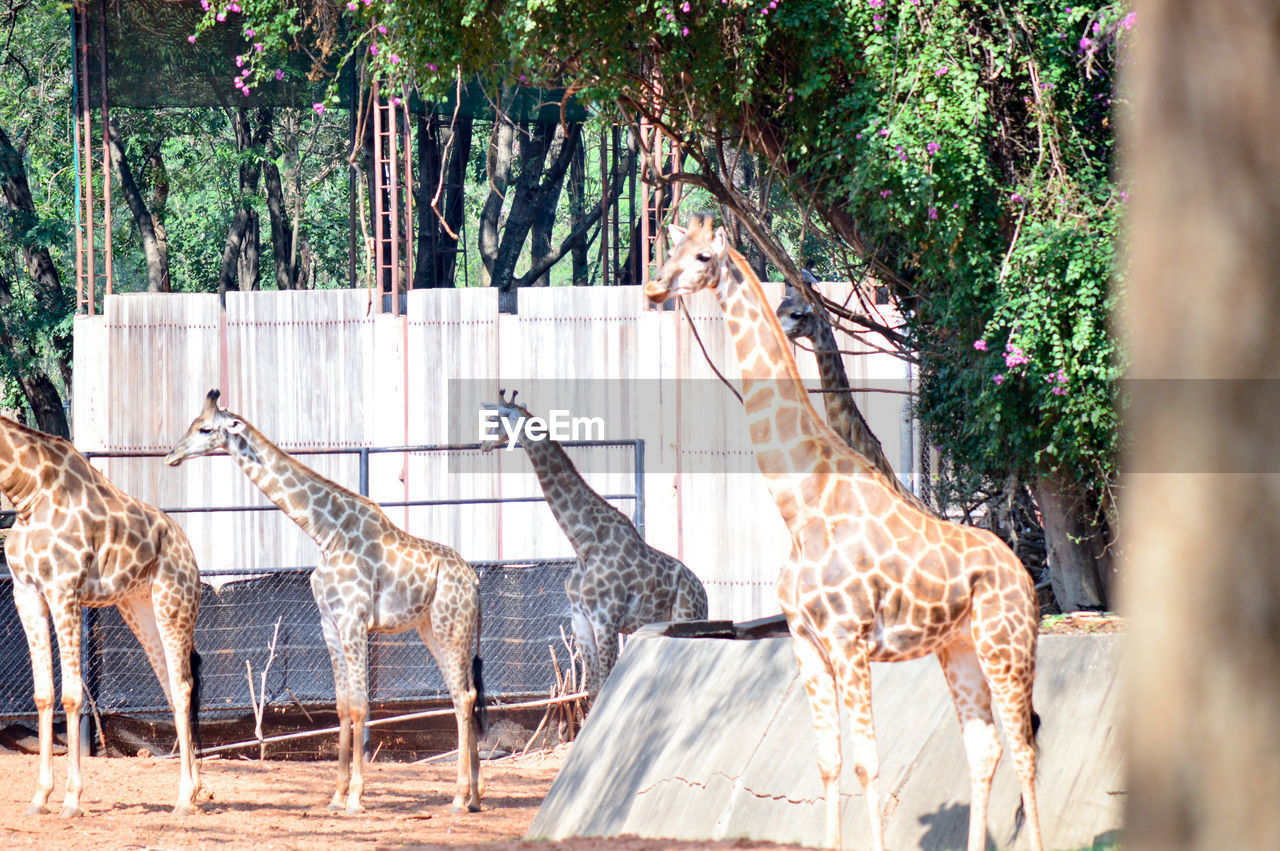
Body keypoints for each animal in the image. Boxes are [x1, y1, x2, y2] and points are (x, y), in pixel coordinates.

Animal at [0, 412, 199, 819]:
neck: (27, 495)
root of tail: (189, 550)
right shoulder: (26, 593)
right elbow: (43, 694)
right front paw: (40, 797)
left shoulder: (63, 590)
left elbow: (73, 697)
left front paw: (72, 801)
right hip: (139, 609)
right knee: (172, 688)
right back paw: (199, 791)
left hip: (174, 605)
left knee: (183, 686)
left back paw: (185, 799)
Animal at [167, 389, 486, 813]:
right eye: (190, 424)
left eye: (204, 429)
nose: (171, 455)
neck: (326, 533)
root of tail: (474, 580)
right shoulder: (329, 622)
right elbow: (341, 705)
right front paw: (336, 796)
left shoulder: (354, 619)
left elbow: (360, 705)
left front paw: (355, 798)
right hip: (434, 629)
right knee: (462, 694)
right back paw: (476, 797)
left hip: (452, 626)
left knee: (464, 696)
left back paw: (459, 796)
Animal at [481, 391, 711, 696]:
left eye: (497, 418)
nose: (483, 444)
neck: (583, 542)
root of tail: (703, 594)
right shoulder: (580, 620)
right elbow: (592, 688)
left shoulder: (605, 619)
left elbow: (606, 684)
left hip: (686, 617)